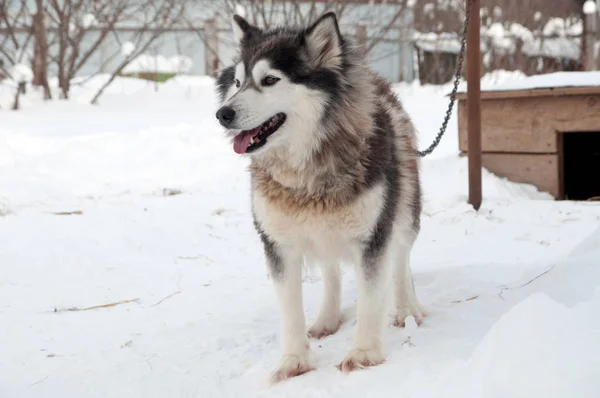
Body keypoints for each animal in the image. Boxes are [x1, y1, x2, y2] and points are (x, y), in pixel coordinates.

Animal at [213, 10, 424, 382]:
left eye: (270, 80)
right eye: (237, 83)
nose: (223, 114)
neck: (306, 170)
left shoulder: (373, 238)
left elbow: (372, 300)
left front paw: (364, 353)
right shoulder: (278, 244)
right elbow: (290, 311)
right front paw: (293, 360)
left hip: (405, 210)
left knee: (401, 259)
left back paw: (406, 308)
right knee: (331, 269)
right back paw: (327, 317)